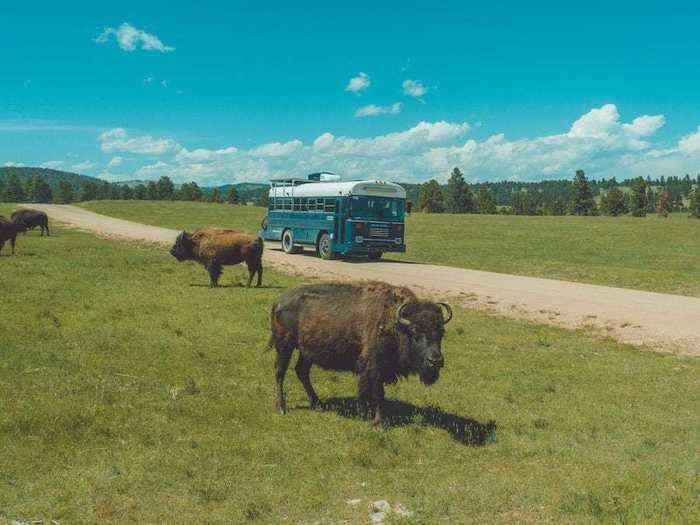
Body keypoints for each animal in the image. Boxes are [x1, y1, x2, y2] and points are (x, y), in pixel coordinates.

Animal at [268, 280, 454, 428]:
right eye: (415, 332)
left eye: (441, 332)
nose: (435, 361)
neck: (395, 323)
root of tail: (278, 301)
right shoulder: (375, 367)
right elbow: (378, 394)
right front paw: (378, 424)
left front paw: (365, 412)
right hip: (285, 345)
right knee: (280, 372)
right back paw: (281, 407)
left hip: (306, 351)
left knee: (302, 371)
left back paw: (317, 404)